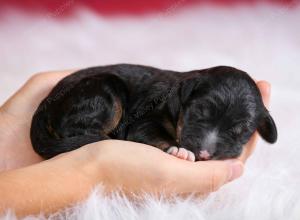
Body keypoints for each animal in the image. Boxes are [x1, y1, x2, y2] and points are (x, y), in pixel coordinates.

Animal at [29, 64, 276, 161]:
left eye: (240, 132)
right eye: (198, 114)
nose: (205, 153)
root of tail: (45, 102)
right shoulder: (144, 122)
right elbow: (155, 135)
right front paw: (178, 150)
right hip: (104, 92)